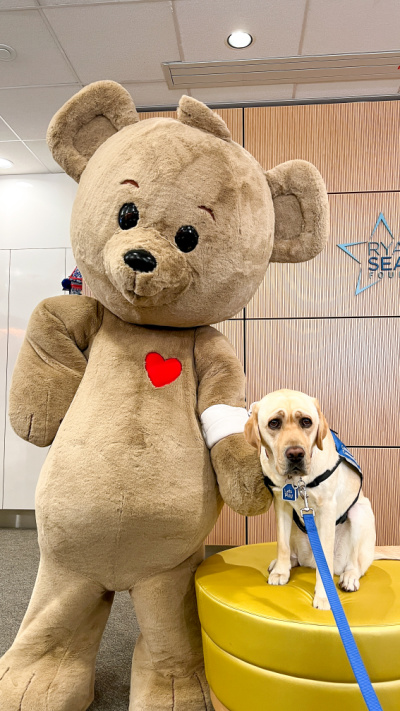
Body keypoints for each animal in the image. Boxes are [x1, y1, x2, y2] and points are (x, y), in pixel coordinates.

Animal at [244, 390, 396, 612]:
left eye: (306, 422)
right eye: (274, 423)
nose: (296, 454)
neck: (297, 482)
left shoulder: (327, 510)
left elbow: (326, 563)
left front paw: (324, 596)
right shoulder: (281, 503)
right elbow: (282, 544)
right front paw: (281, 571)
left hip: (361, 512)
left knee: (356, 565)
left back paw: (349, 578)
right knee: (294, 554)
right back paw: (284, 563)